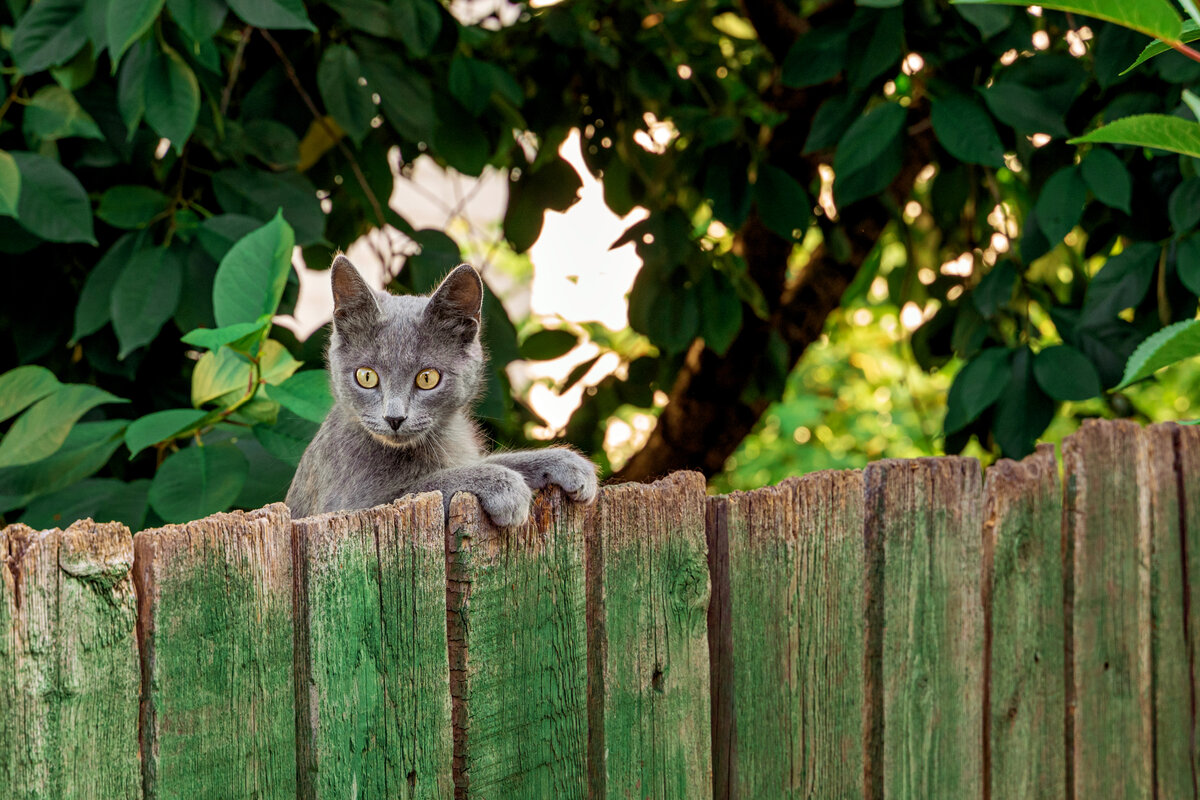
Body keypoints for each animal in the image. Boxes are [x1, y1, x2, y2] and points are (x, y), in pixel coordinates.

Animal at [285, 256, 595, 525]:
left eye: (427, 378)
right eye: (366, 376)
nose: (394, 418)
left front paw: (567, 463)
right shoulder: (349, 504)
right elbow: (424, 484)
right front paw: (503, 484)